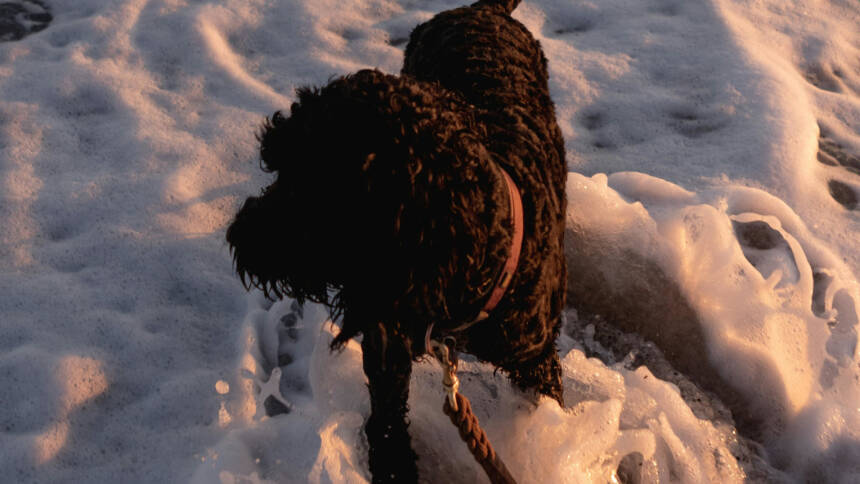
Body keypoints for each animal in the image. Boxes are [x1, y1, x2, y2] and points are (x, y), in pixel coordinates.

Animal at [225, 1, 568, 482]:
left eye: (311, 191)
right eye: (280, 170)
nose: (236, 234)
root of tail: (481, 9)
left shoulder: (537, 359)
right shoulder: (388, 334)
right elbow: (387, 417)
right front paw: (392, 467)